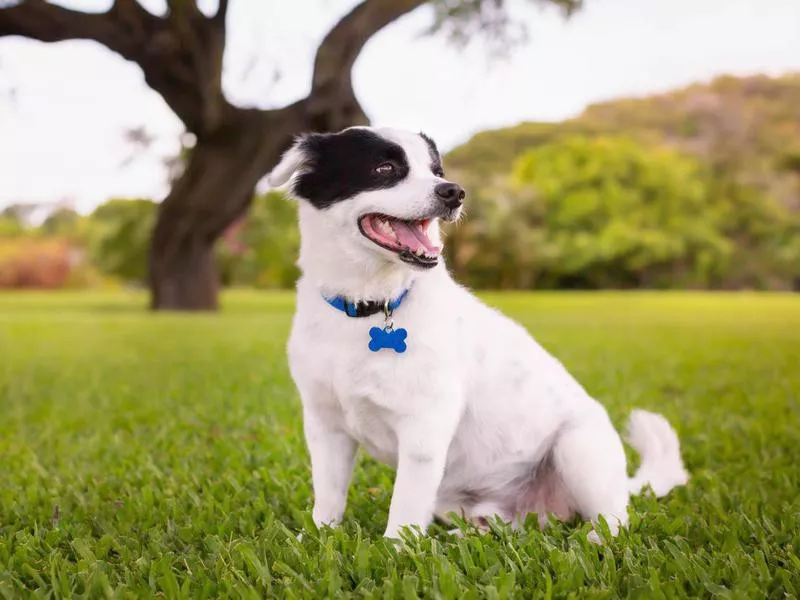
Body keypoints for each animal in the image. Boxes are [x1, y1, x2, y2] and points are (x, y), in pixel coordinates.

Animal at [266, 124, 692, 540]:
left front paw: (395, 551)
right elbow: (329, 497)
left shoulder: (424, 432)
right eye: (384, 168)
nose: (453, 191)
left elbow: (404, 512)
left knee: (615, 519)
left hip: (578, 450)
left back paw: (596, 538)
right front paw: (320, 537)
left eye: (437, 171)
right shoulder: (326, 427)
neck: (368, 306)